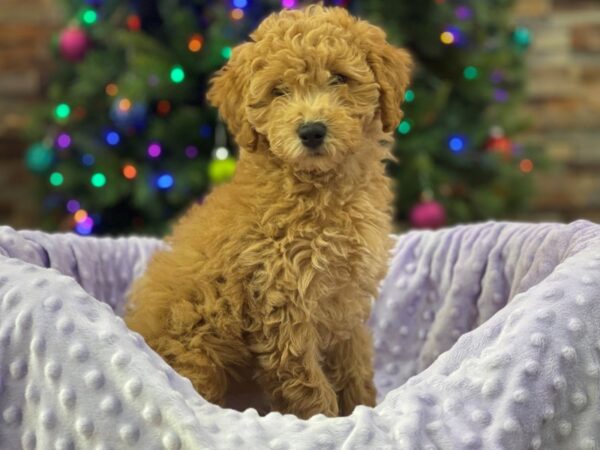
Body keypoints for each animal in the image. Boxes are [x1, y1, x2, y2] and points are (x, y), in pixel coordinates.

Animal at [124, 4, 410, 418]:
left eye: (339, 78)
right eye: (278, 91)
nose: (311, 131)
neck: (319, 188)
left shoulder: (344, 303)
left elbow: (355, 366)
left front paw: (364, 408)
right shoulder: (282, 303)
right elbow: (308, 385)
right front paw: (326, 420)